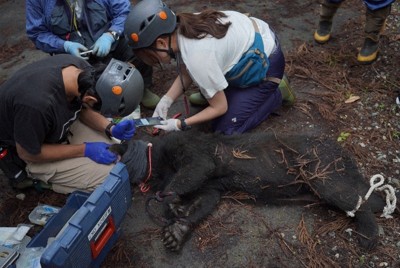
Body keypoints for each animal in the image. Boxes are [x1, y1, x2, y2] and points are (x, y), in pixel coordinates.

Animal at [111, 130, 396, 251]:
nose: (133, 184)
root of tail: (343, 153)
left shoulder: (193, 152)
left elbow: (191, 172)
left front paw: (169, 200)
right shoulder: (212, 188)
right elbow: (203, 201)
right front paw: (177, 231)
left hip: (321, 170)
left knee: (353, 198)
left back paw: (368, 236)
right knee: (370, 197)